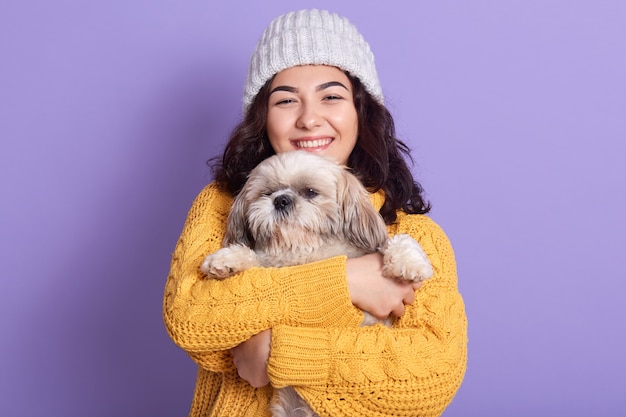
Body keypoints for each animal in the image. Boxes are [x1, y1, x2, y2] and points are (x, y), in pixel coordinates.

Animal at [202, 151, 432, 416]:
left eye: (310, 192)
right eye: (267, 193)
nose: (281, 200)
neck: (305, 249)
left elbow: (400, 240)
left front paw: (411, 264)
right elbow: (247, 256)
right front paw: (225, 260)